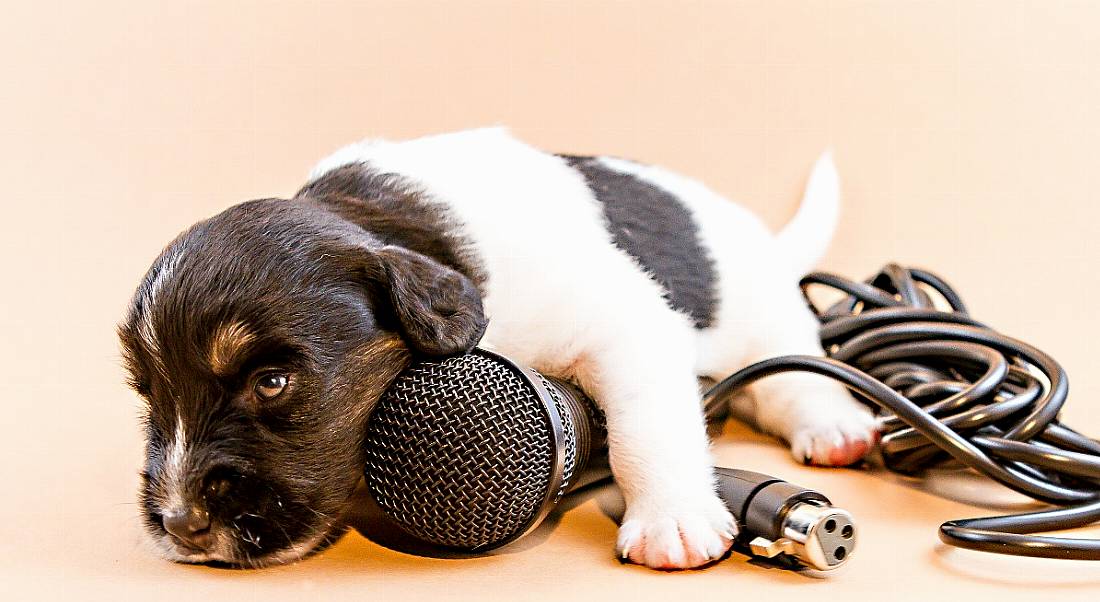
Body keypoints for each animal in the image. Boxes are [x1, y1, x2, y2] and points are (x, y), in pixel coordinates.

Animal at [118, 127, 875, 572]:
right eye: (149, 395)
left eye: (272, 383)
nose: (181, 524)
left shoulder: (624, 321)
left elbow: (646, 429)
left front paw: (673, 517)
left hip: (766, 317)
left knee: (792, 375)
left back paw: (831, 425)